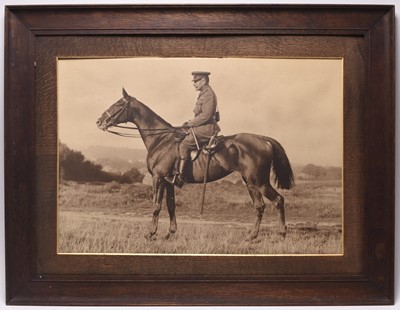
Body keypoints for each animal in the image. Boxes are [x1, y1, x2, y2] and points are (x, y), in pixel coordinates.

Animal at [96, 88, 294, 241]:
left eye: (118, 104)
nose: (99, 121)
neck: (161, 140)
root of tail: (263, 139)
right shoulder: (168, 182)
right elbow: (170, 206)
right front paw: (170, 233)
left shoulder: (158, 179)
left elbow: (156, 206)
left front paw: (151, 233)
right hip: (250, 182)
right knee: (259, 206)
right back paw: (251, 236)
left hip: (259, 181)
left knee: (278, 200)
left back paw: (281, 234)